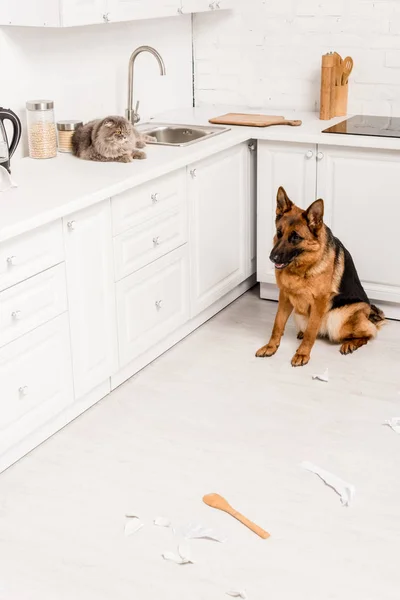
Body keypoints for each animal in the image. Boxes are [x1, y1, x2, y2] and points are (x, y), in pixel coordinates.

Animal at [256, 186, 384, 366]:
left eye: (295, 237)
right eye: (279, 233)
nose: (272, 258)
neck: (302, 268)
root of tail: (368, 315)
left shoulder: (319, 301)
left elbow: (311, 331)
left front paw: (302, 353)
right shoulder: (285, 297)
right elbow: (278, 324)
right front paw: (271, 346)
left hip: (338, 320)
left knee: (369, 333)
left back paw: (350, 343)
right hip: (299, 315)